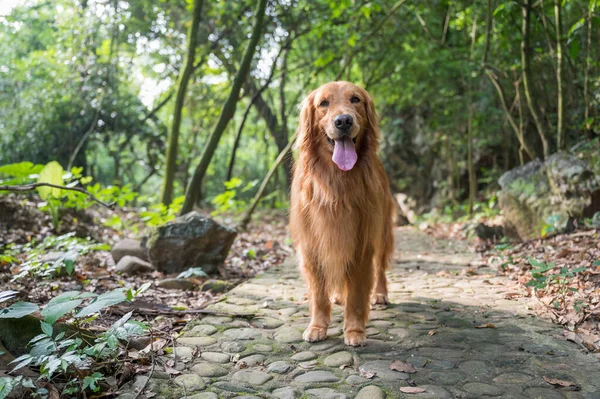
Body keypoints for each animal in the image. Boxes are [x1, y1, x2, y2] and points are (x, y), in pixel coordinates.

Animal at [290, 82, 396, 346]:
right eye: (323, 103)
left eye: (355, 99)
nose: (344, 121)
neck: (336, 182)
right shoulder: (312, 245)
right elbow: (318, 294)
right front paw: (317, 327)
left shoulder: (362, 243)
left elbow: (357, 293)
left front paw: (355, 331)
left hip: (382, 232)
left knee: (380, 268)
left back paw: (380, 294)